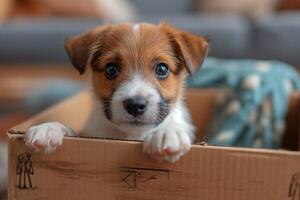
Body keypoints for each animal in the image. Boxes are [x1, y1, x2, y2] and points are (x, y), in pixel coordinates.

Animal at [24, 22, 209, 162]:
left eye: (162, 69)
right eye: (111, 69)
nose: (135, 105)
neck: (130, 137)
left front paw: (166, 133)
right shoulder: (91, 134)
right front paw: (49, 128)